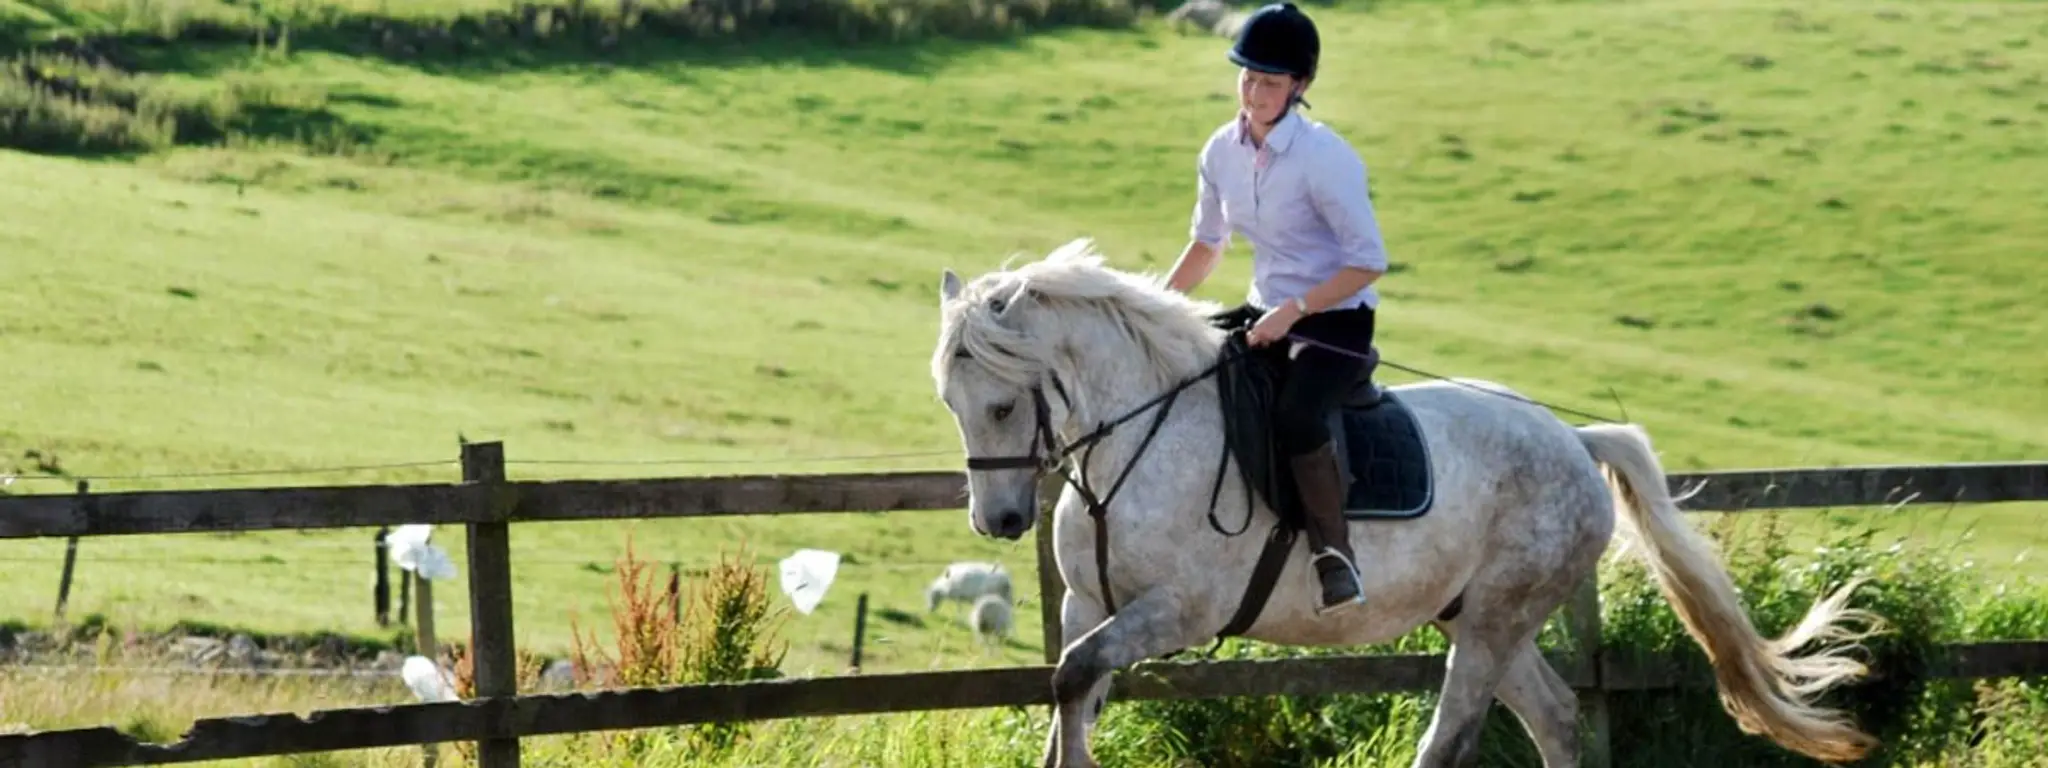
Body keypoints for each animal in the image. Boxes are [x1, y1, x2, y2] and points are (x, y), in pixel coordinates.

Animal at [928, 238, 1883, 768]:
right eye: (950, 402)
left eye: (1003, 404)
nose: (998, 523)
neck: (1139, 436)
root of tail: (1576, 443)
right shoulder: (1094, 604)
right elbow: (1072, 693)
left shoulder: (1177, 612)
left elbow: (1073, 674)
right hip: (1481, 617)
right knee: (1558, 719)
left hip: (1496, 618)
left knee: (1453, 737)